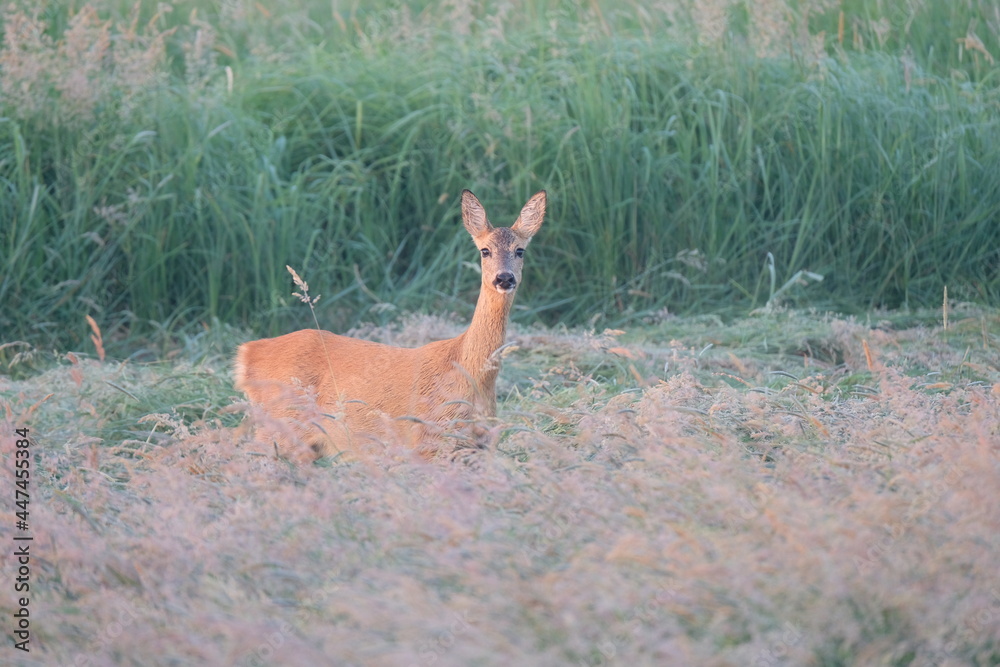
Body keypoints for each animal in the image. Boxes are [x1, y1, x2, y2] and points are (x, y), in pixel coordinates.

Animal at [233, 189, 546, 460]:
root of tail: (248, 353)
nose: (504, 278)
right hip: (281, 424)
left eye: (520, 250)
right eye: (484, 250)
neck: (471, 375)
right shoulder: (428, 439)